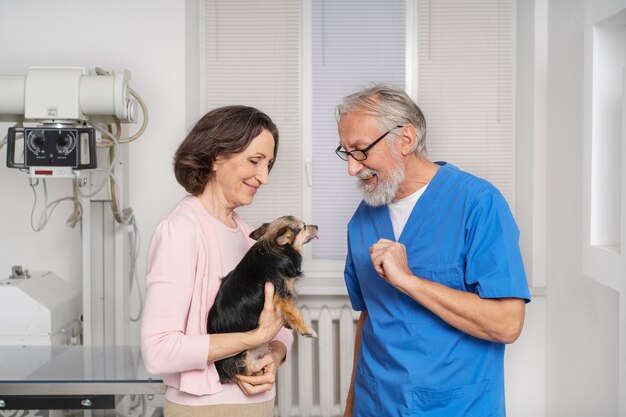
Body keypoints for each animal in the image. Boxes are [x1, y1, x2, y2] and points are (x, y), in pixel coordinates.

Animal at [208, 216, 320, 382]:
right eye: (304, 226)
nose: (317, 226)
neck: (275, 248)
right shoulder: (283, 295)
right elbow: (295, 313)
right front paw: (306, 330)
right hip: (242, 358)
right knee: (246, 370)